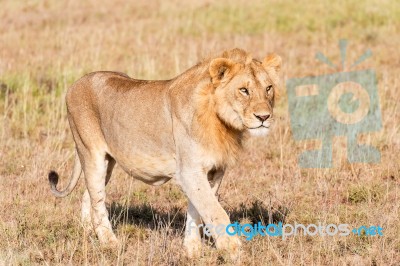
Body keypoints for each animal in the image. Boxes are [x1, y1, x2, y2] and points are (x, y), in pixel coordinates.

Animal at [47, 47, 282, 258]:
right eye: (244, 90)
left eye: (268, 88)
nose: (264, 117)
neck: (221, 120)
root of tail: (77, 82)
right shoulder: (189, 171)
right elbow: (216, 212)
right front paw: (234, 251)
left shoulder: (213, 172)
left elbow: (197, 212)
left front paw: (192, 251)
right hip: (91, 152)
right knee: (97, 200)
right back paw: (110, 243)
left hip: (107, 163)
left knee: (89, 195)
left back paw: (88, 232)